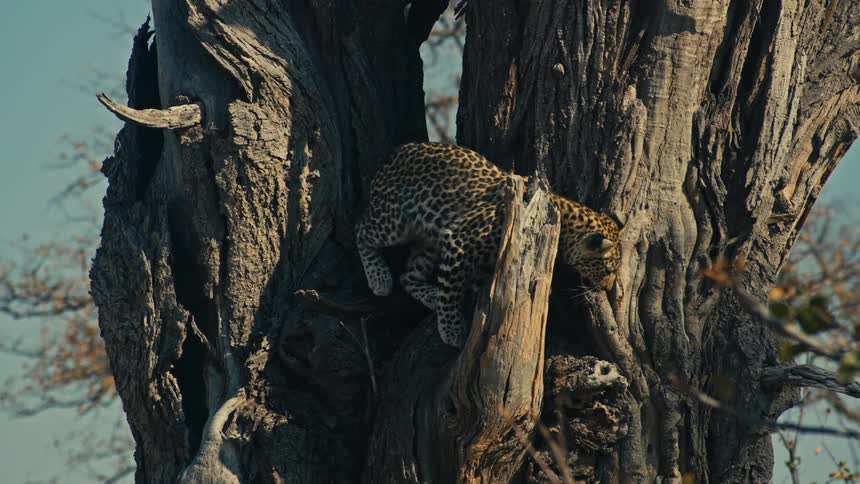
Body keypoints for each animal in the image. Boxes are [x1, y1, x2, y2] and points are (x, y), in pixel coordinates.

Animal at [355, 142, 621, 347]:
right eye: (607, 269)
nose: (608, 288)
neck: (564, 220)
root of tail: (399, 151)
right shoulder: (460, 239)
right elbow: (451, 290)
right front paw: (452, 330)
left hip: (427, 242)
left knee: (408, 275)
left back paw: (430, 294)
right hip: (393, 220)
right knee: (360, 231)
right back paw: (379, 278)